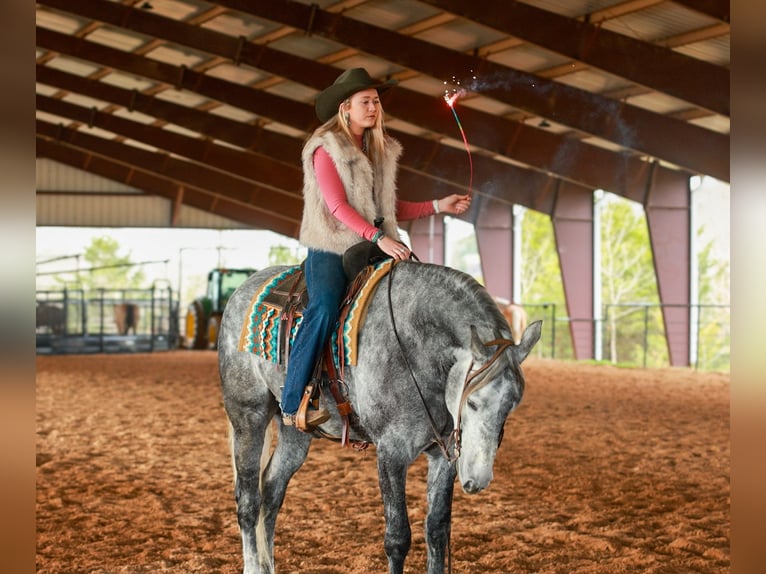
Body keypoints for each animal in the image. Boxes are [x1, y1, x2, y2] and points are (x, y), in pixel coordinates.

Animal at [218, 261, 542, 574]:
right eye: (472, 402)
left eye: (511, 406)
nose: (478, 480)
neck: (416, 347)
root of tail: (242, 291)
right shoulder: (391, 453)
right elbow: (397, 538)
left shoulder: (445, 454)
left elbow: (437, 530)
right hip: (248, 416)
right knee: (248, 501)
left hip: (295, 434)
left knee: (271, 491)